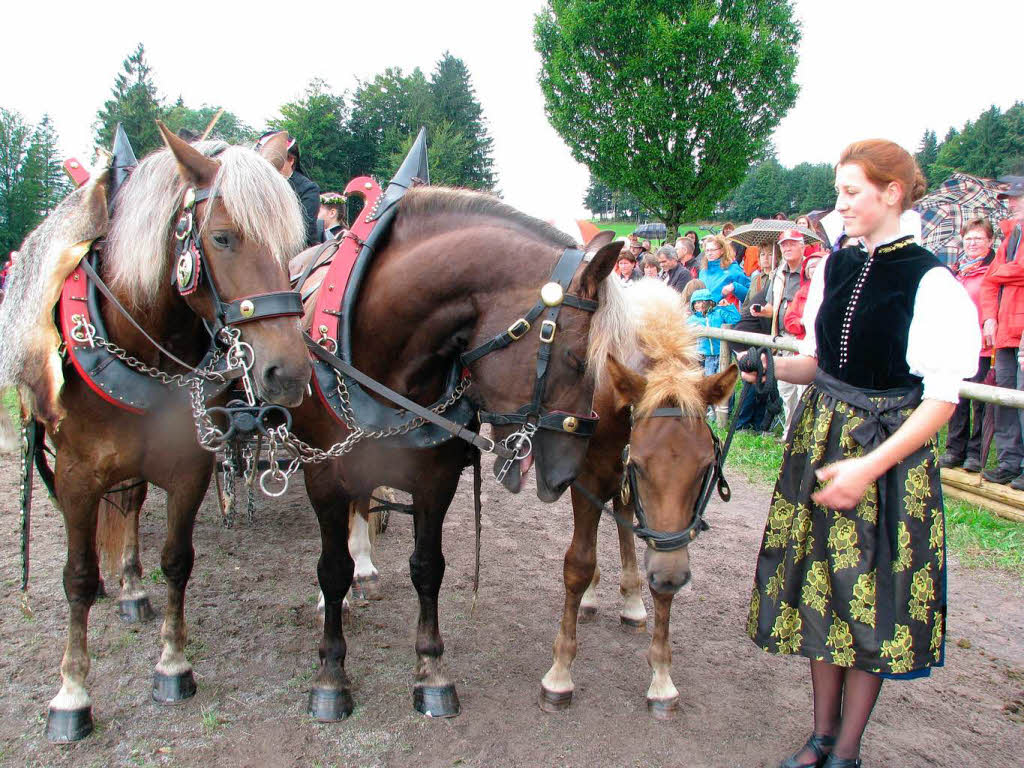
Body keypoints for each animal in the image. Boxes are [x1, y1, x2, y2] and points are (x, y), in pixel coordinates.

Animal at [1, 123, 311, 741]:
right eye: (222, 237)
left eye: (292, 244)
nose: (288, 374)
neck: (138, 348)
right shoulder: (75, 476)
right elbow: (76, 576)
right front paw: (71, 693)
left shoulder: (189, 469)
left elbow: (177, 560)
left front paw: (173, 664)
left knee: (130, 501)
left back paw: (132, 587)